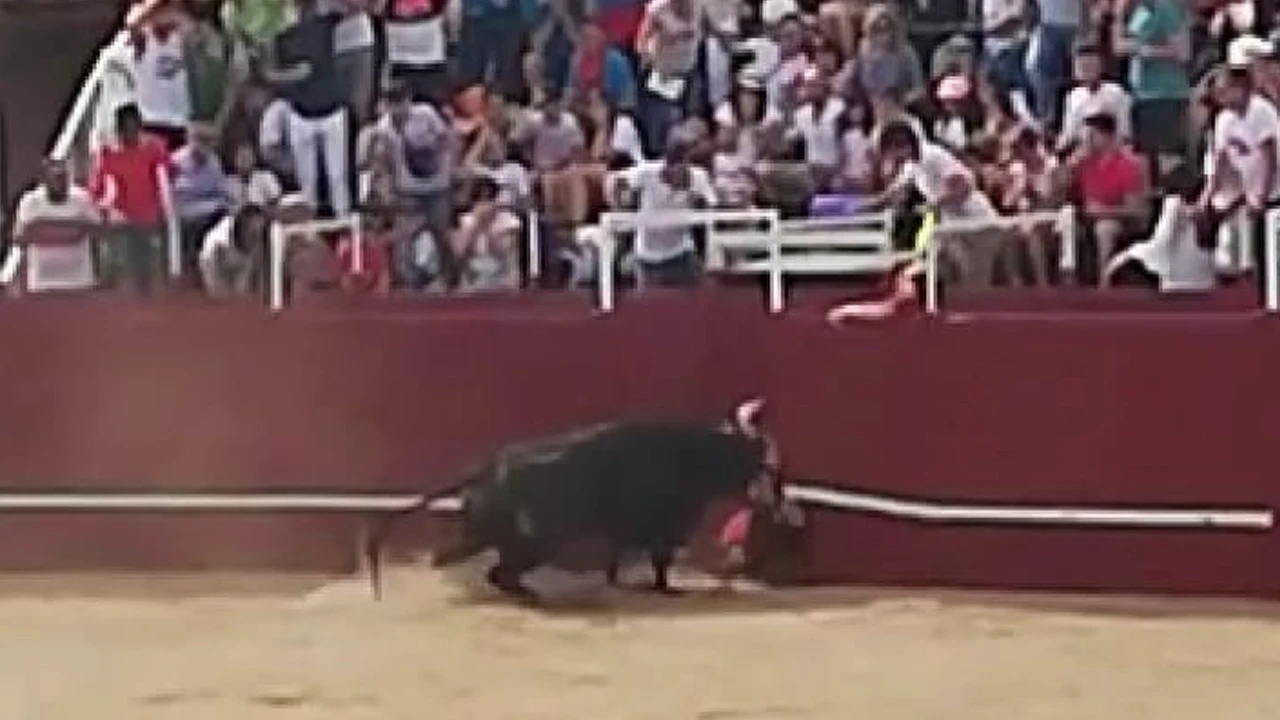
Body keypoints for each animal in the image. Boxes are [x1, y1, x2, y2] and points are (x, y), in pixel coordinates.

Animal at [427, 404, 778, 599]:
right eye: (758, 459)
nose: (772, 495)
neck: (695, 455)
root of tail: (486, 471)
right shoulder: (663, 528)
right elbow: (660, 561)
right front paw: (667, 589)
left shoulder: (626, 532)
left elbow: (618, 558)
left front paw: (618, 582)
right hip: (533, 545)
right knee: (499, 572)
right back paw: (529, 594)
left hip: (498, 538)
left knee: (486, 567)